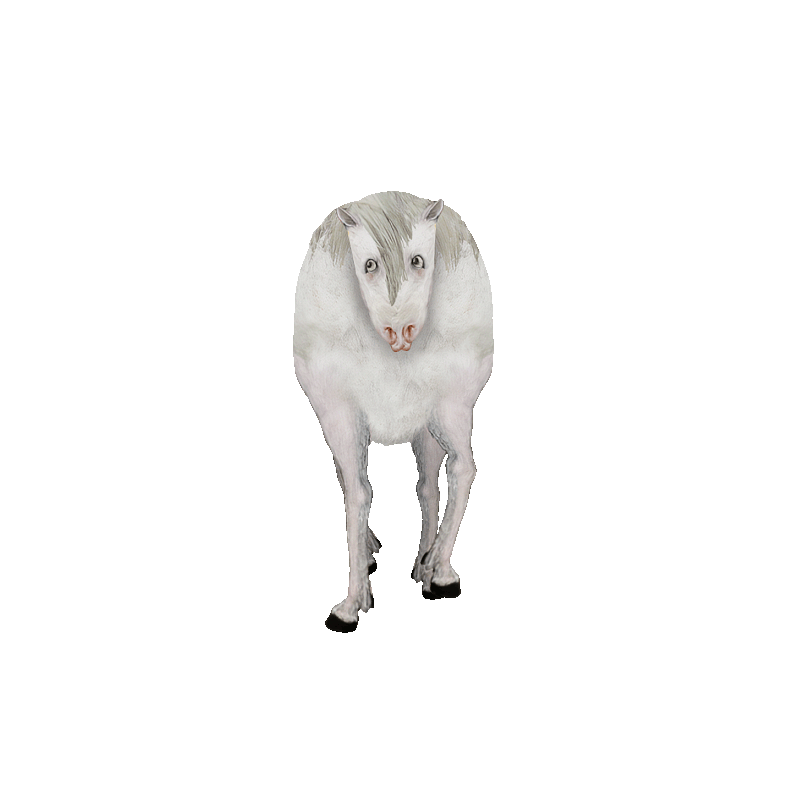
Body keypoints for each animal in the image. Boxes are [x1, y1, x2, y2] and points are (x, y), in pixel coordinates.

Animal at [293, 192, 493, 631]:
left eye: (419, 259)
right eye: (369, 264)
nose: (400, 334)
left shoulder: (445, 407)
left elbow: (361, 492)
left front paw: (351, 603)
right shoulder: (341, 418)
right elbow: (356, 492)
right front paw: (357, 593)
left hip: (446, 412)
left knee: (460, 470)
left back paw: (440, 571)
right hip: (427, 429)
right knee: (427, 486)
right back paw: (420, 564)